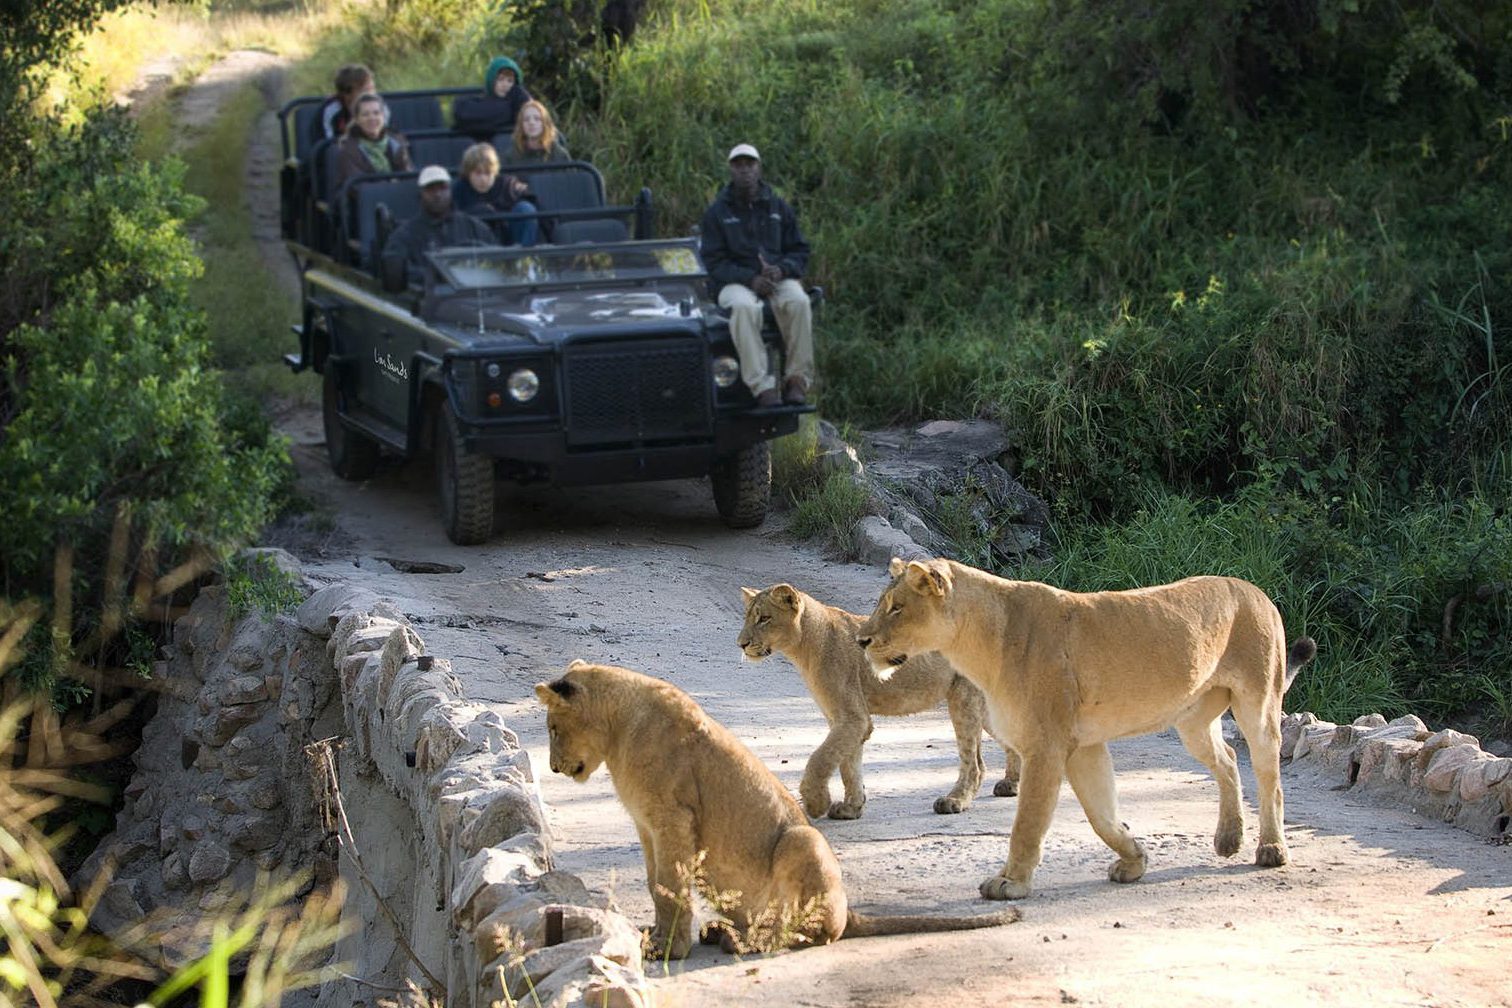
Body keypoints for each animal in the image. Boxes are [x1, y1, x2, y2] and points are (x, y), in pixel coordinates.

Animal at [535, 660, 1022, 958]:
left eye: (554, 728)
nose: (553, 767)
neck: (619, 729)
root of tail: (851, 910)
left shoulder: (673, 821)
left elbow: (670, 888)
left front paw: (668, 949)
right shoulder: (646, 827)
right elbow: (657, 886)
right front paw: (653, 938)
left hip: (803, 839)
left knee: (816, 932)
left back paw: (744, 942)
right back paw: (725, 932)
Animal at [738, 583, 1020, 818]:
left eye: (764, 618)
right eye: (747, 617)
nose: (741, 644)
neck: (804, 644)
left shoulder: (852, 717)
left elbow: (820, 759)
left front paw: (817, 803)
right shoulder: (845, 719)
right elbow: (848, 764)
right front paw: (852, 807)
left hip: (963, 698)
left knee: (974, 763)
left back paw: (955, 801)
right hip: (982, 706)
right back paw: (1011, 785)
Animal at [856, 557, 1315, 902]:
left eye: (896, 607)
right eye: (883, 604)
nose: (862, 640)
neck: (977, 642)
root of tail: (1256, 591)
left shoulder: (1046, 746)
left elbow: (1028, 822)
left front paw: (1010, 882)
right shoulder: (1083, 746)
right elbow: (1101, 815)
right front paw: (1134, 859)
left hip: (1258, 704)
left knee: (1268, 775)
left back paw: (1271, 848)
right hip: (1192, 721)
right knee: (1229, 759)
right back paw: (1228, 837)